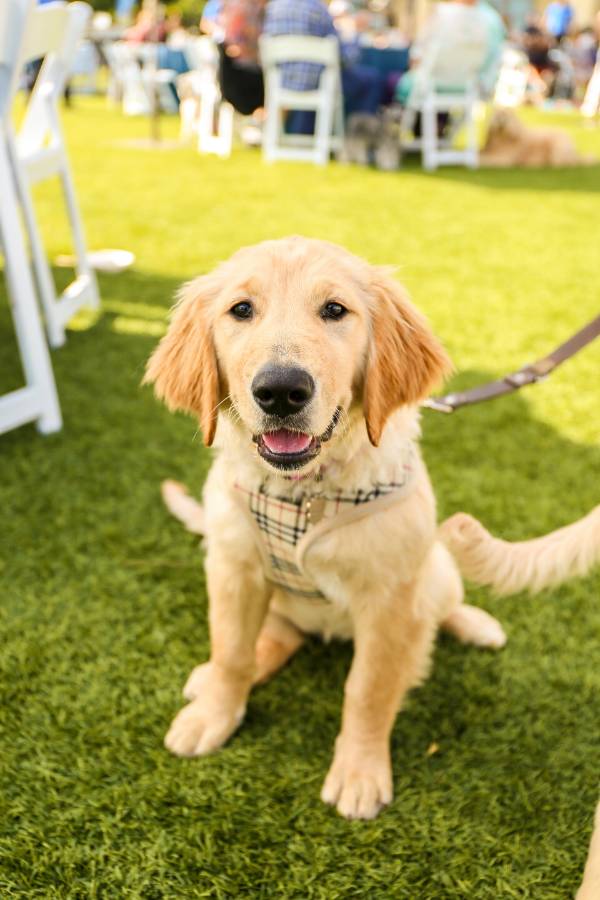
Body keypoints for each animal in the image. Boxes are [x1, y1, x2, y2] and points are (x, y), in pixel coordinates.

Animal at [144, 236, 509, 820]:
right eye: (241, 310)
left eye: (335, 310)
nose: (280, 391)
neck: (305, 494)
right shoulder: (233, 569)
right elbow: (231, 652)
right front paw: (213, 716)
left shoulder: (389, 599)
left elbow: (369, 689)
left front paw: (359, 771)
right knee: (273, 641)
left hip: (435, 565)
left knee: (439, 610)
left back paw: (474, 624)